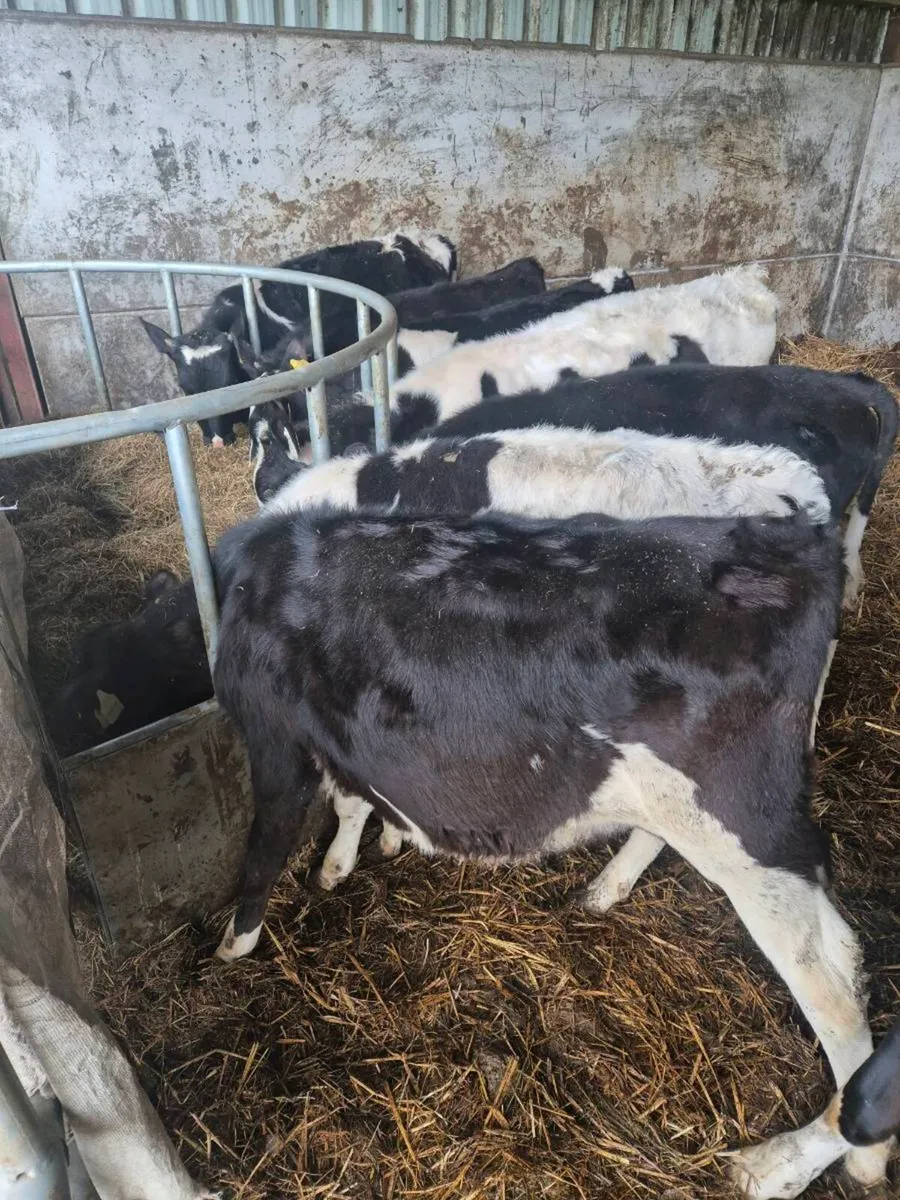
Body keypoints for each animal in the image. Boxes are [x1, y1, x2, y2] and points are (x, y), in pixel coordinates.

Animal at [210, 503, 889, 1199]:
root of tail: (799, 546)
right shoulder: (343, 735)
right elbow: (351, 799)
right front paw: (346, 860)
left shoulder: (273, 731)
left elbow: (267, 842)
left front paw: (235, 943)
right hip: (699, 806)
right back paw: (603, 890)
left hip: (748, 823)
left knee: (838, 994)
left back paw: (792, 1164)